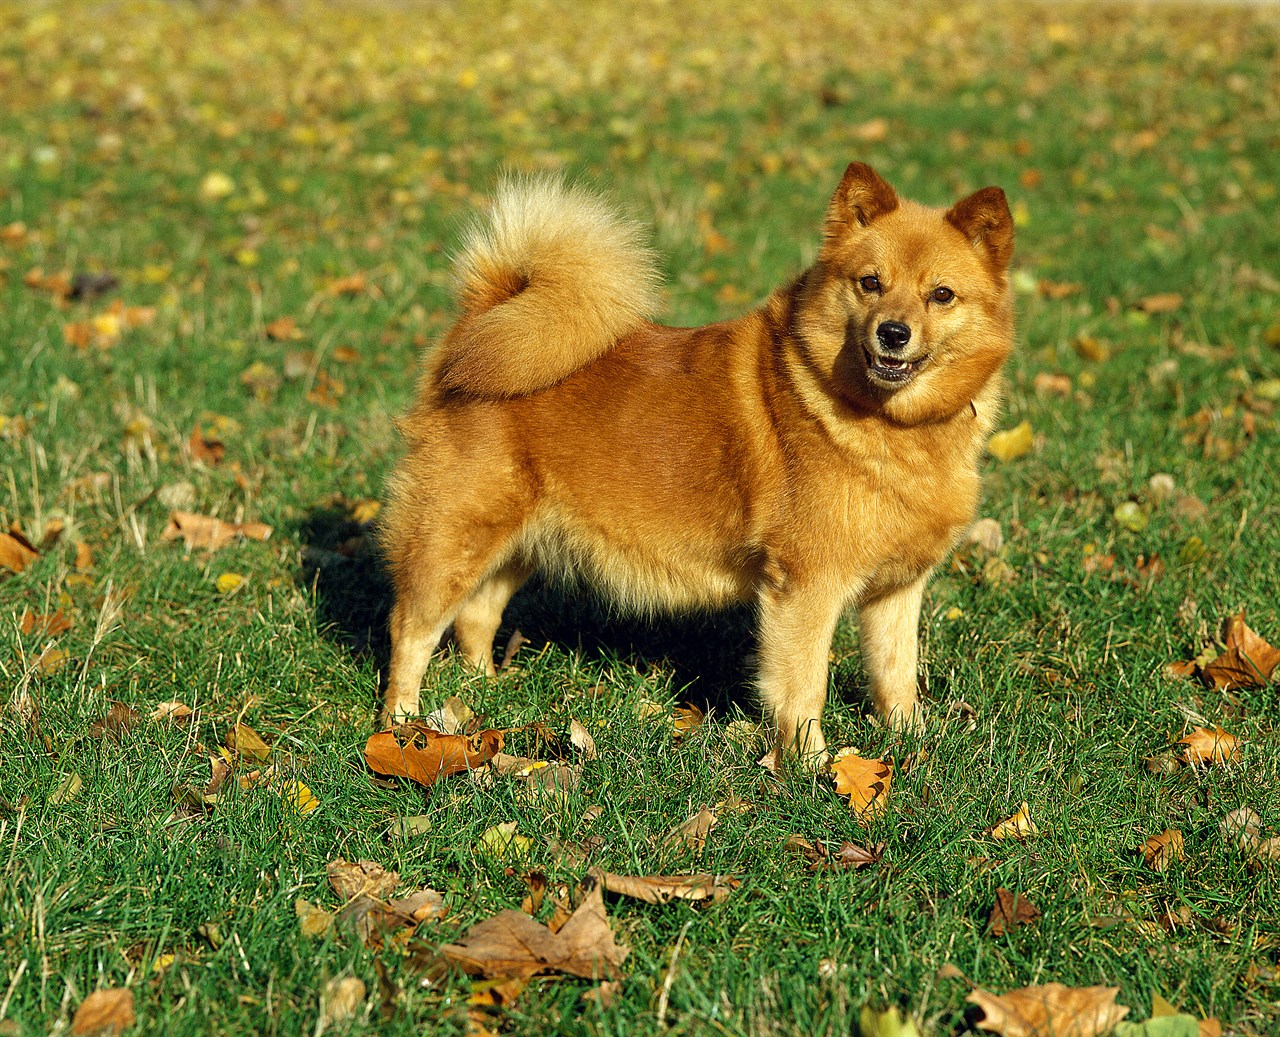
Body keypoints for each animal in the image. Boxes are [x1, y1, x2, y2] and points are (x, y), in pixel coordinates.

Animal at [373, 159, 1013, 757]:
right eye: (870, 283)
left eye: (941, 295)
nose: (893, 333)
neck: (888, 423)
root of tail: (482, 316)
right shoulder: (806, 589)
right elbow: (803, 688)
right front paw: (812, 767)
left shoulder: (895, 593)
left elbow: (896, 677)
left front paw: (911, 745)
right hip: (454, 536)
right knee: (411, 630)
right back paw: (401, 726)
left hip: (518, 542)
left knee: (476, 617)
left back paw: (482, 693)